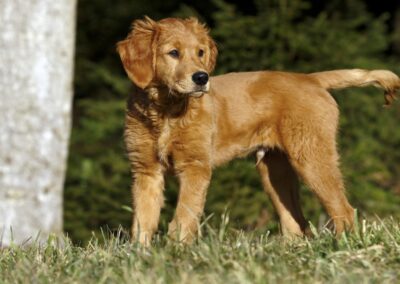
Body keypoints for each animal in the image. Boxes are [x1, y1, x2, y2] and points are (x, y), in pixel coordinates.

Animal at [117, 16, 398, 245]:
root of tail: (310, 78)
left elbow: (184, 215)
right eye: (173, 53)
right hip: (274, 171)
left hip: (311, 155)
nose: (202, 78)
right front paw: (141, 256)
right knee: (295, 222)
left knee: (343, 210)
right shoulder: (145, 170)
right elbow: (143, 220)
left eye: (200, 52)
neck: (165, 111)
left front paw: (178, 253)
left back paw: (341, 249)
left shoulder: (195, 166)